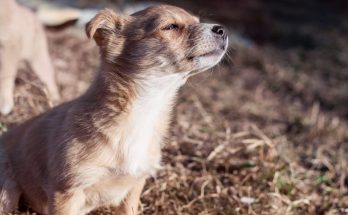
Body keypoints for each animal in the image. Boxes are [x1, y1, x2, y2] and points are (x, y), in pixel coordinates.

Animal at [0, 5, 227, 215]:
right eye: (170, 26)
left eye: (197, 20)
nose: (221, 29)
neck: (143, 110)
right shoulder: (66, 192)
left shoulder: (134, 188)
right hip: (7, 193)